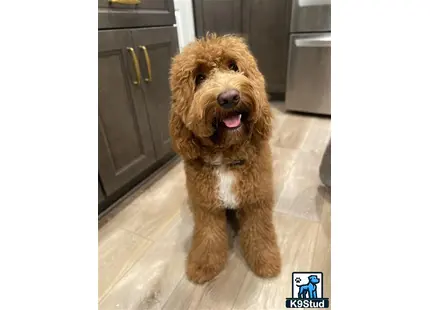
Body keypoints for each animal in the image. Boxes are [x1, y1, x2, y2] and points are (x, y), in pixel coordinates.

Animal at [168, 33, 282, 284]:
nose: (229, 97)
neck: (226, 157)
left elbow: (260, 233)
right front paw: (203, 266)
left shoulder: (256, 202)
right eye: (199, 78)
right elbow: (208, 236)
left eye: (234, 66)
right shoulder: (207, 207)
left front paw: (266, 261)